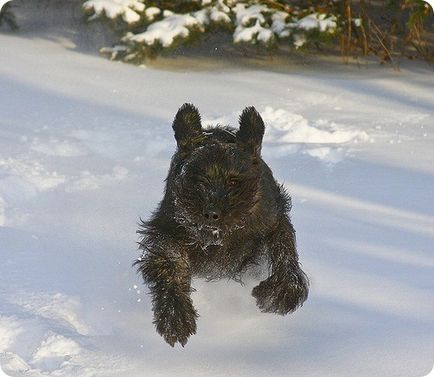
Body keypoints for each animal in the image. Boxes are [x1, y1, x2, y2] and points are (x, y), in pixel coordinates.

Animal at [136, 103, 308, 346]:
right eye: (198, 179)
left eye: (234, 181)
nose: (211, 213)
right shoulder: (168, 230)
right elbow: (169, 264)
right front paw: (176, 317)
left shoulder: (274, 221)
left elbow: (284, 252)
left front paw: (276, 296)